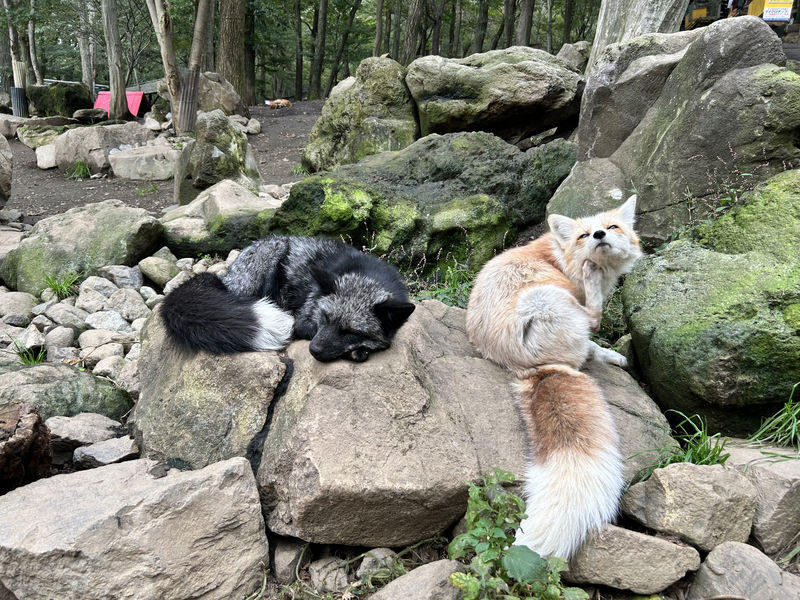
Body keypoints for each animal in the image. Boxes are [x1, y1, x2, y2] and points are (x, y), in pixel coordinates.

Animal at [161, 235, 416, 362]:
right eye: (325, 318)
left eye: (351, 331)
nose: (314, 350)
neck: (368, 275)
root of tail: (227, 275)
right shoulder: (303, 319)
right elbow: (304, 327)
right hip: (270, 255)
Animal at [465, 196, 642, 559]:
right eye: (584, 235)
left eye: (613, 227)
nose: (599, 235)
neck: (561, 258)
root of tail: (522, 364)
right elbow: (594, 323)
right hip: (547, 300)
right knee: (590, 322)